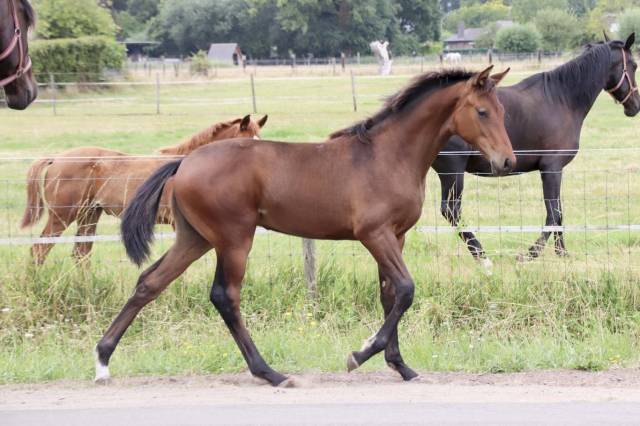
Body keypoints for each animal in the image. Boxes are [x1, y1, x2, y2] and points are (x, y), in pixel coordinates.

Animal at [94, 66, 515, 386]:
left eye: (502, 111)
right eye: (481, 111)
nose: (507, 162)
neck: (387, 155)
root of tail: (184, 163)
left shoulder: (396, 236)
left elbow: (391, 295)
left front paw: (401, 366)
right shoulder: (374, 235)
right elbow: (406, 290)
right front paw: (359, 354)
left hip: (194, 238)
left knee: (149, 282)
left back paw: (102, 360)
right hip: (233, 239)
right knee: (225, 296)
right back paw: (269, 373)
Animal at [432, 34, 640, 271]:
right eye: (634, 65)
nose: (635, 106)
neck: (562, 99)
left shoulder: (553, 170)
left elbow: (558, 212)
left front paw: (562, 254)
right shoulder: (551, 168)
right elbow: (553, 213)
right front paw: (531, 254)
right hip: (453, 173)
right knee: (451, 210)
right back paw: (481, 255)